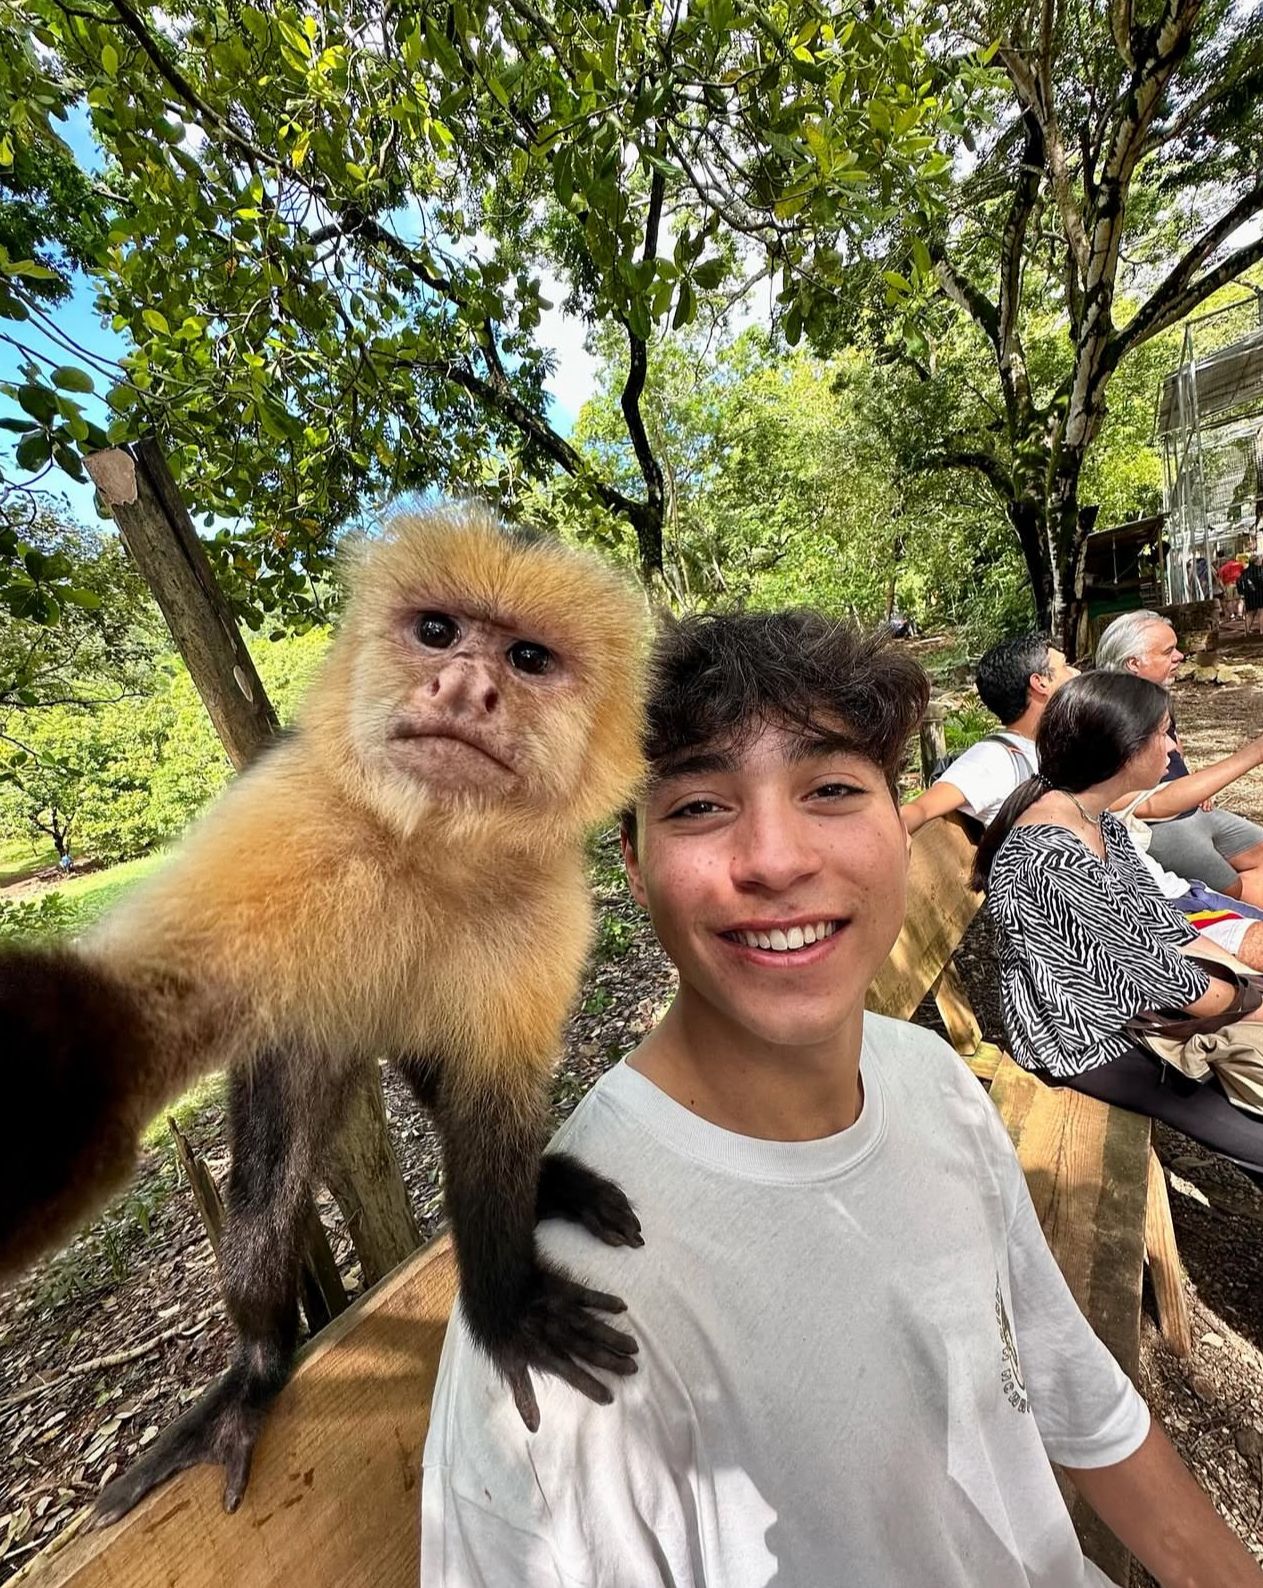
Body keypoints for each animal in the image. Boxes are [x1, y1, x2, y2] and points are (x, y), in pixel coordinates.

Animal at [0, 506, 650, 1521]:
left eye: (527, 658)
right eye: (438, 632)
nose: (464, 686)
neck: (430, 844)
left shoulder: (545, 902)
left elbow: (490, 1100)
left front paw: (505, 1295)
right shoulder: (285, 811)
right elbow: (139, 1021)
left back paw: (543, 1183)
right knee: (267, 1205)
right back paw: (257, 1366)